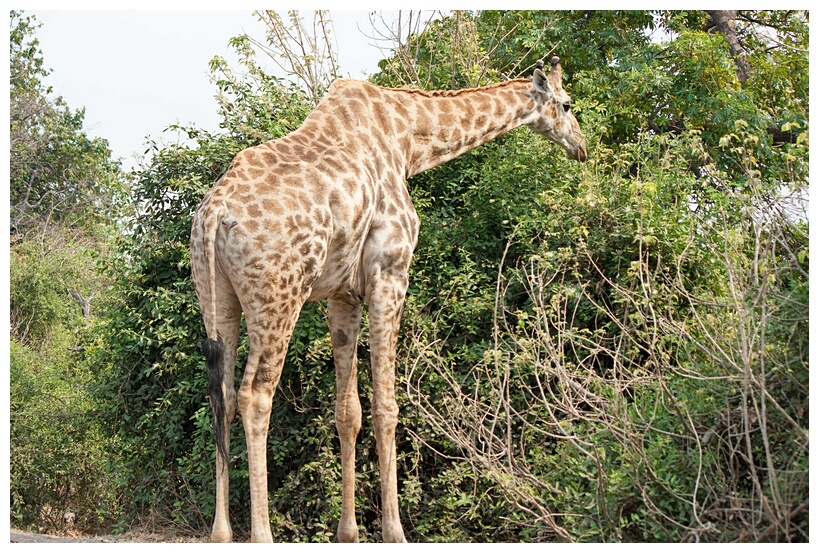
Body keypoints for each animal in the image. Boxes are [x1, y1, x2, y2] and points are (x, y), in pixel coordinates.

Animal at [191, 57, 588, 544]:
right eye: (566, 103)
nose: (581, 146)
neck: (406, 139)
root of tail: (214, 214)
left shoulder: (342, 294)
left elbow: (348, 412)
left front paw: (349, 533)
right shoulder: (390, 272)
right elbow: (387, 407)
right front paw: (394, 531)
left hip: (216, 297)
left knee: (222, 397)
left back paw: (221, 533)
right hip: (278, 296)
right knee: (255, 395)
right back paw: (261, 535)